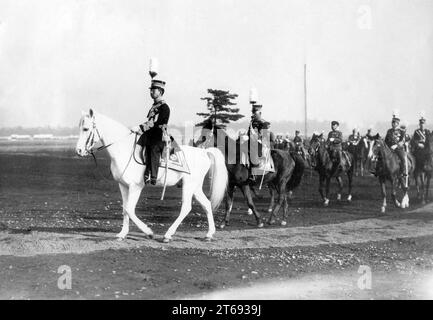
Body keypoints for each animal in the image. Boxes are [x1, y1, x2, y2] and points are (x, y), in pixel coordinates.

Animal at [75, 109, 228, 241]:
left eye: (86, 129)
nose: (78, 150)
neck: (124, 149)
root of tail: (204, 152)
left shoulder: (136, 186)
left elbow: (129, 209)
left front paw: (149, 232)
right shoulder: (123, 186)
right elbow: (125, 209)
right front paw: (122, 234)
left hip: (189, 185)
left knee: (186, 207)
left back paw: (168, 235)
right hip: (195, 186)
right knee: (206, 204)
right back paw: (209, 234)